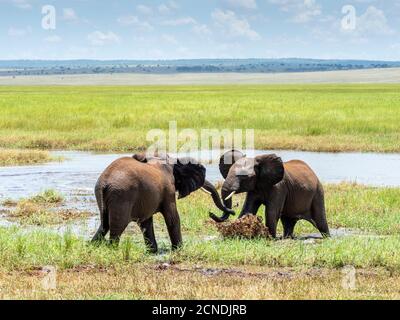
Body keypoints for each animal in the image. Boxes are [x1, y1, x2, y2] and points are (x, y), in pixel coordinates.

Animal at [92, 153, 233, 252]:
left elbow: (146, 222)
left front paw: (153, 252)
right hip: (122, 195)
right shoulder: (168, 189)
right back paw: (113, 250)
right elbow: (172, 217)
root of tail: (105, 182)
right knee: (117, 226)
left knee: (104, 224)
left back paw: (93, 246)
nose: (210, 213)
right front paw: (179, 250)